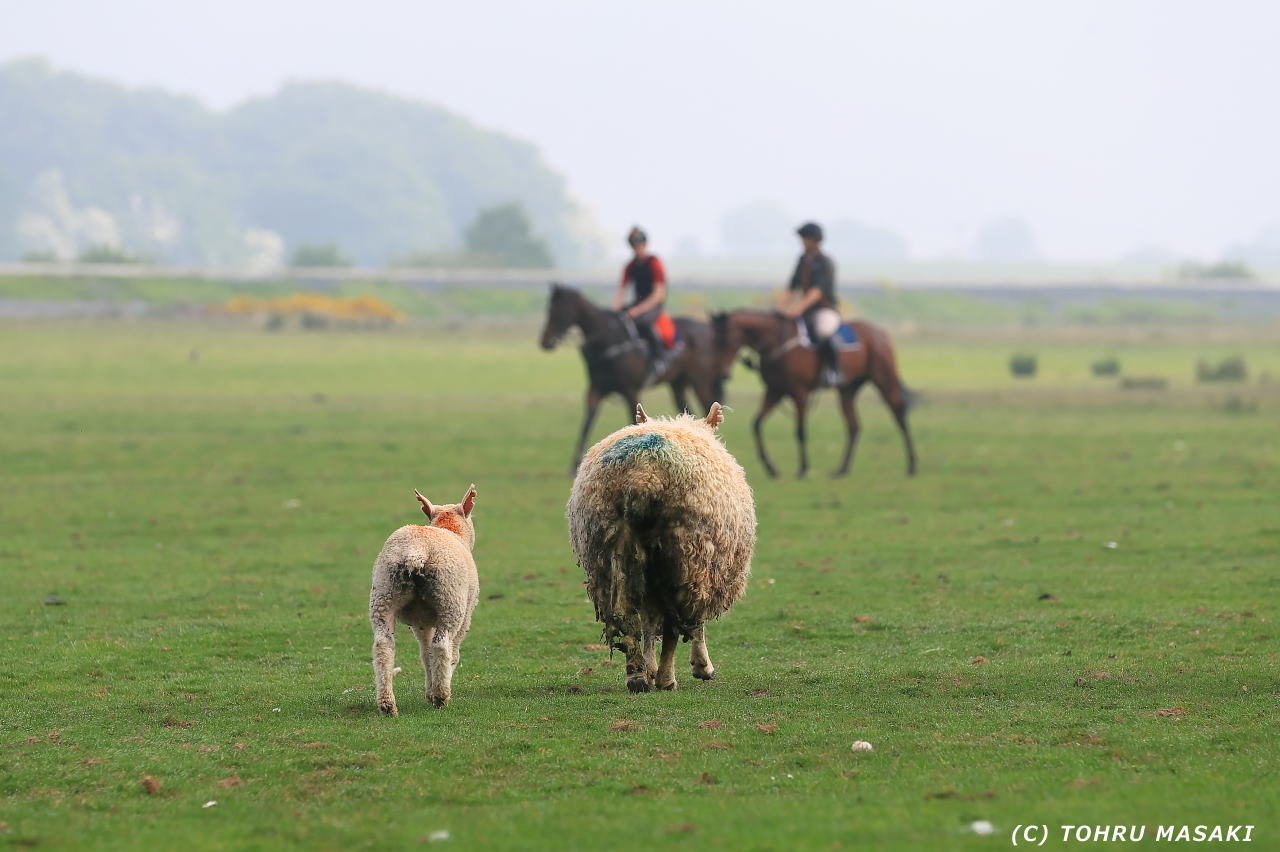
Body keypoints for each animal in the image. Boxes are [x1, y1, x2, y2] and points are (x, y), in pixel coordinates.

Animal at [369, 485, 478, 714]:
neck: (451, 530)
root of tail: (415, 552)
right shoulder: (466, 616)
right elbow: (449, 653)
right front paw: (435, 691)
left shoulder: (420, 622)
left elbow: (425, 653)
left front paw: (429, 690)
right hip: (450, 600)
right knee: (442, 646)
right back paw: (442, 696)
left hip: (383, 593)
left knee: (383, 646)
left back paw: (387, 704)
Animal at [540, 283, 722, 473]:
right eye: (549, 309)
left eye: (557, 311)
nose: (545, 341)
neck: (608, 341)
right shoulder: (596, 390)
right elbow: (587, 423)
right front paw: (574, 464)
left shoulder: (630, 391)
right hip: (678, 383)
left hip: (700, 381)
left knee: (706, 404)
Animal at [568, 402, 756, 693]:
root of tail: (642, 476)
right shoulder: (705, 569)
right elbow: (694, 623)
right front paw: (702, 667)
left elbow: (648, 622)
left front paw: (649, 666)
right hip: (683, 556)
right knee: (672, 626)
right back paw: (667, 679)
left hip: (607, 553)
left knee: (628, 618)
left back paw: (637, 675)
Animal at [710, 310, 917, 479]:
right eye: (715, 341)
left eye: (725, 340)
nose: (722, 374)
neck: (778, 342)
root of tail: (880, 332)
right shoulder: (775, 391)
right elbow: (757, 424)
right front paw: (771, 468)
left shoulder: (799, 393)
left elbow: (800, 430)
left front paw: (803, 468)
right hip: (847, 391)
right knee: (854, 426)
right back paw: (842, 470)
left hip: (884, 380)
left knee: (899, 414)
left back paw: (912, 465)